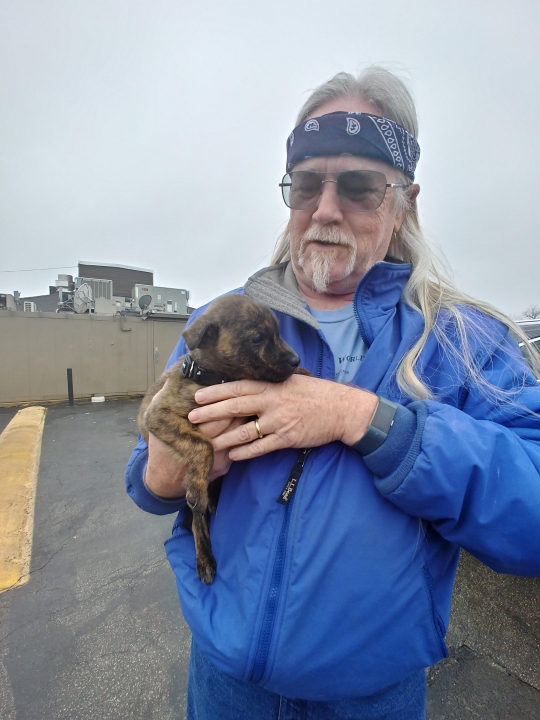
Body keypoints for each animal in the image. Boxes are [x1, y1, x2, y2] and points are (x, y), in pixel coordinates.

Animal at [137, 294, 304, 584]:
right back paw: (205, 558)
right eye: (257, 339)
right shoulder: (159, 414)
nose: (296, 359)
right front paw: (197, 483)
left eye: (278, 333)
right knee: (197, 521)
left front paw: (306, 373)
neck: (216, 378)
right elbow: (203, 445)